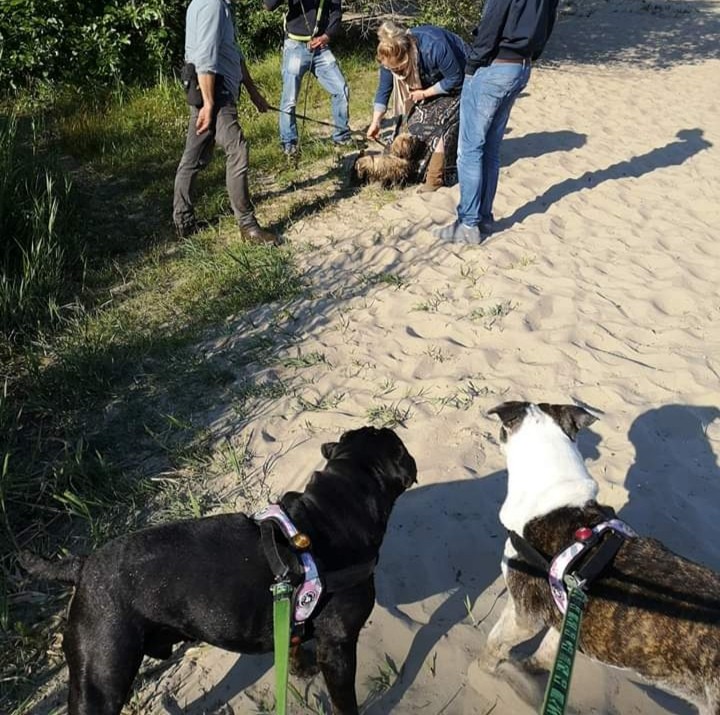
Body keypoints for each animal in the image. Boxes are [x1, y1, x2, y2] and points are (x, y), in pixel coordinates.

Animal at [21, 428, 416, 712]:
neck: (329, 513)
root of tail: (82, 566)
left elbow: (291, 644)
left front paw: (300, 669)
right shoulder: (339, 647)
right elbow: (345, 703)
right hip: (102, 680)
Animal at [480, 402, 720, 715]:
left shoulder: (524, 614)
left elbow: (494, 645)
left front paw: (485, 672)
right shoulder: (568, 609)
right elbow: (548, 653)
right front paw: (528, 672)